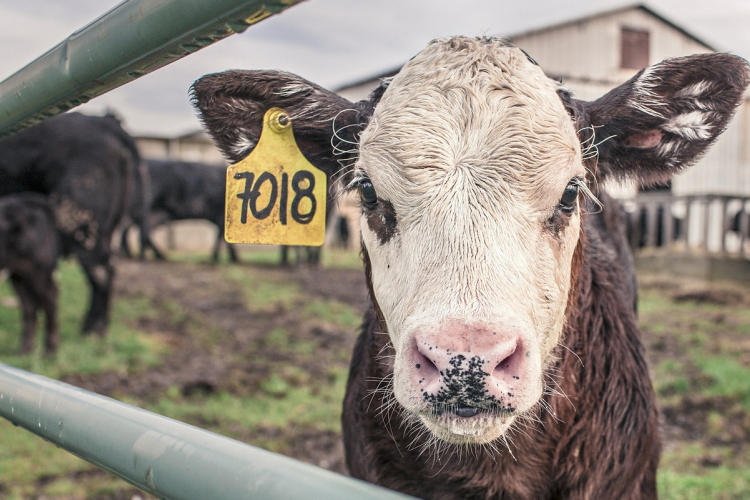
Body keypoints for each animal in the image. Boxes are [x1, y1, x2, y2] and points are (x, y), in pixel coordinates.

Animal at [0, 111, 138, 334]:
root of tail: (102, 121)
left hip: (79, 220)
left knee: (101, 271)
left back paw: (92, 328)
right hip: (108, 227)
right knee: (109, 267)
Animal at [0, 193, 59, 354]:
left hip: (37, 270)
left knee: (50, 297)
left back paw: (50, 350)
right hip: (18, 274)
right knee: (29, 305)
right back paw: (25, 349)